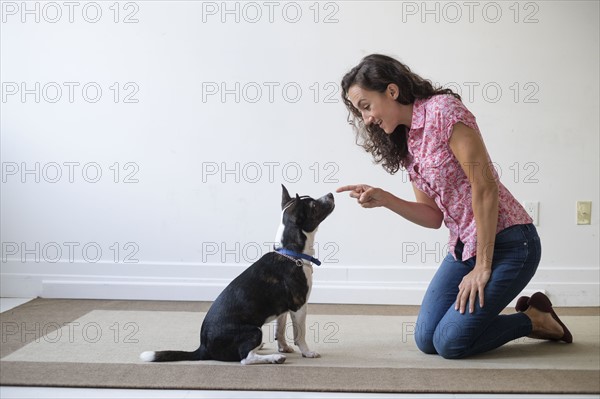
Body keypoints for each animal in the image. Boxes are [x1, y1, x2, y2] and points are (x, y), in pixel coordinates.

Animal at [142, 185, 338, 366]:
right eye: (314, 205)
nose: (330, 194)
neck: (291, 253)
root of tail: (203, 347)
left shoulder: (283, 308)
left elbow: (280, 330)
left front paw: (284, 347)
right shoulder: (299, 306)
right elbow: (300, 333)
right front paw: (307, 352)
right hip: (254, 331)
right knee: (245, 358)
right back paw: (274, 358)